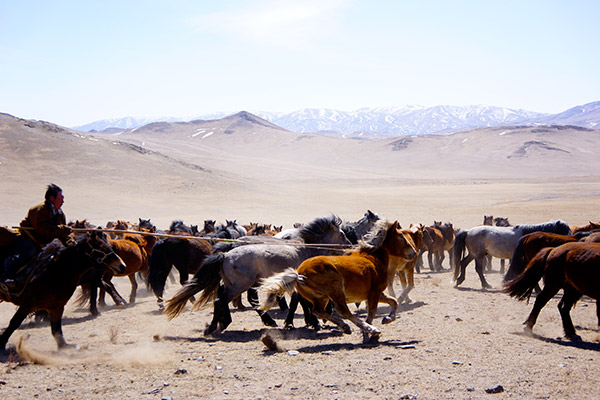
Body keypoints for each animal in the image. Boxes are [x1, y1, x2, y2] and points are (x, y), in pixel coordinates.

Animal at [164, 214, 352, 336]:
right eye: (342, 234)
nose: (350, 246)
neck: (306, 249)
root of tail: (226, 255)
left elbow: (300, 302)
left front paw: (308, 322)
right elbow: (301, 303)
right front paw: (312, 322)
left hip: (235, 284)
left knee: (226, 299)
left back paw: (224, 323)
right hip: (240, 285)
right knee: (221, 301)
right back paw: (213, 328)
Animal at [258, 220, 418, 342]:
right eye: (401, 237)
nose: (414, 252)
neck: (373, 258)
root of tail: (299, 274)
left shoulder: (378, 293)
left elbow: (394, 302)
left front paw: (387, 319)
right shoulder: (374, 292)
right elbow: (372, 312)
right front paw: (368, 334)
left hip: (321, 298)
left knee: (318, 311)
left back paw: (344, 326)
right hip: (336, 290)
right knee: (343, 310)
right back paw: (368, 329)